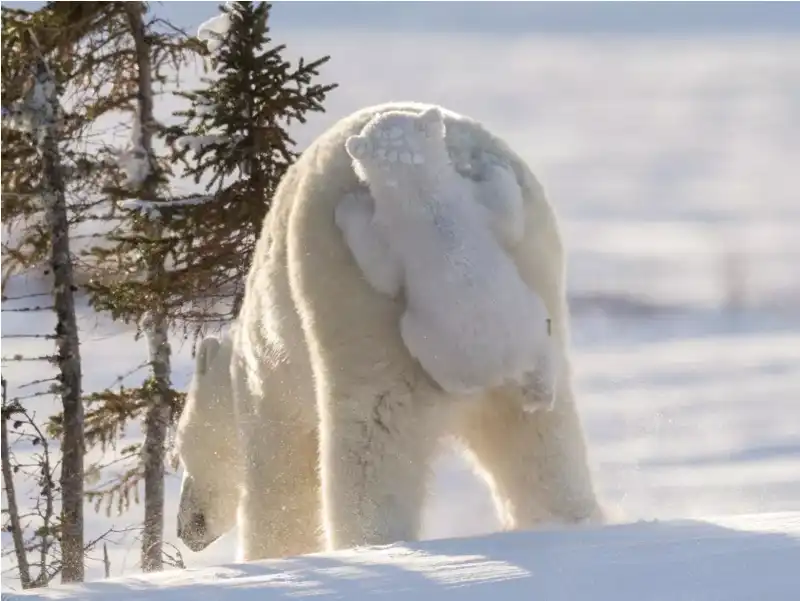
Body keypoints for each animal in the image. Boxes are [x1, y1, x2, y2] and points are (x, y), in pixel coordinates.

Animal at [338, 106, 556, 412]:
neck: (423, 195)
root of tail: (503, 367)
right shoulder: (470, 204)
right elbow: (508, 220)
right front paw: (493, 165)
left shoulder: (397, 230)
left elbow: (383, 276)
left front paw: (349, 204)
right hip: (526, 323)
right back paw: (540, 397)